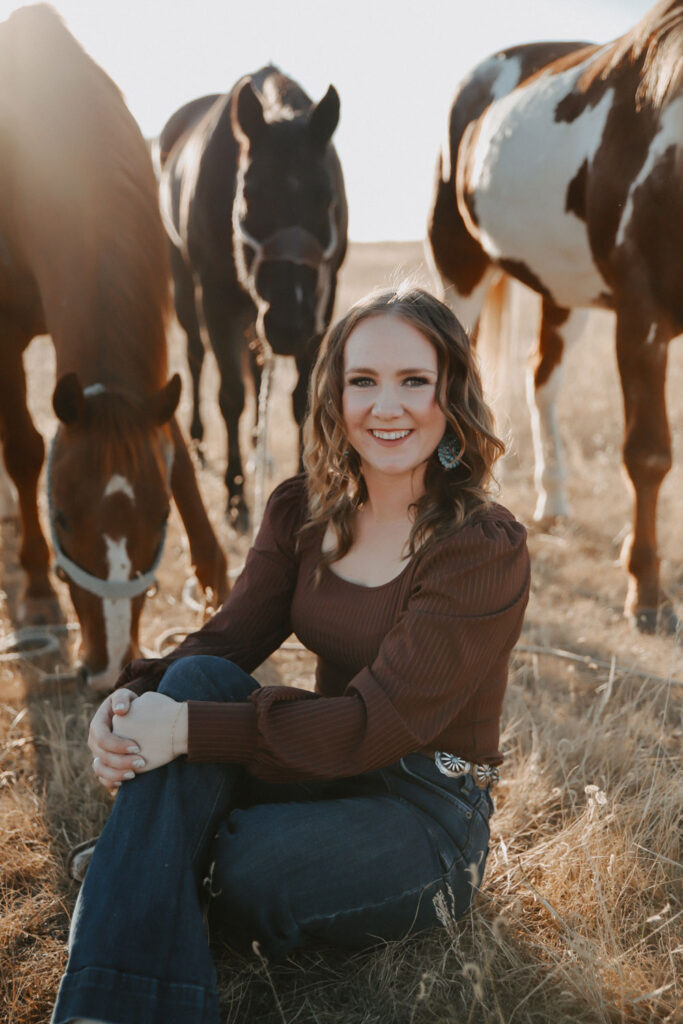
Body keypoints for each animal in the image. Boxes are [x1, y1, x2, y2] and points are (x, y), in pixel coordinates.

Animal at [0, 4, 229, 692]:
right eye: (63, 521)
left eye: (159, 524)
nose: (105, 669)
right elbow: (25, 450)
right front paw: (39, 592)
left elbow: (177, 447)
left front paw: (217, 582)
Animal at [155, 66, 348, 528]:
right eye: (249, 195)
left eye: (326, 198)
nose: (289, 323)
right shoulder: (218, 299)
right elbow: (231, 397)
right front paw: (236, 497)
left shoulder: (323, 298)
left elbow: (302, 398)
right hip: (189, 288)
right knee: (196, 357)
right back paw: (199, 445)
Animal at [428, 0, 683, 630]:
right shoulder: (640, 317)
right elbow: (648, 454)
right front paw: (646, 591)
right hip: (460, 267)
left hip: (562, 289)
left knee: (542, 378)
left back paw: (555, 500)